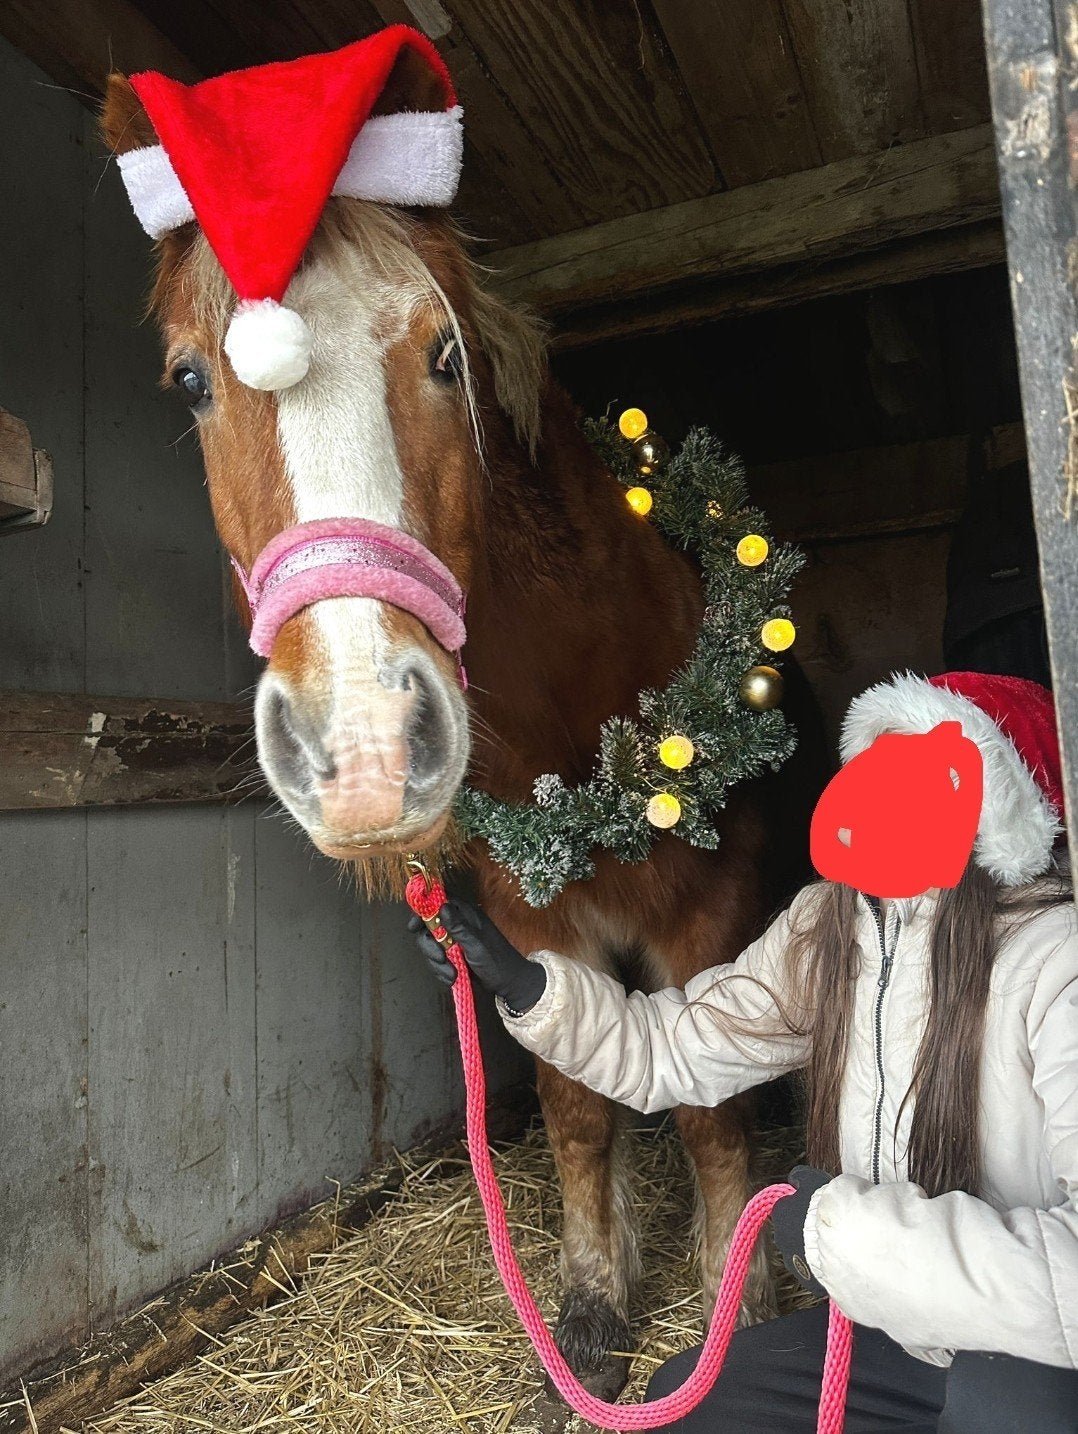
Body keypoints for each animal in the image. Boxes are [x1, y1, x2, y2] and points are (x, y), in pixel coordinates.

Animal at [102, 63, 825, 1401]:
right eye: (191, 380)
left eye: (445, 354)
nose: (364, 754)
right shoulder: (531, 926)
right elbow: (580, 1101)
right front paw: (591, 1310)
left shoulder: (707, 922)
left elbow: (713, 1108)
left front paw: (732, 1307)